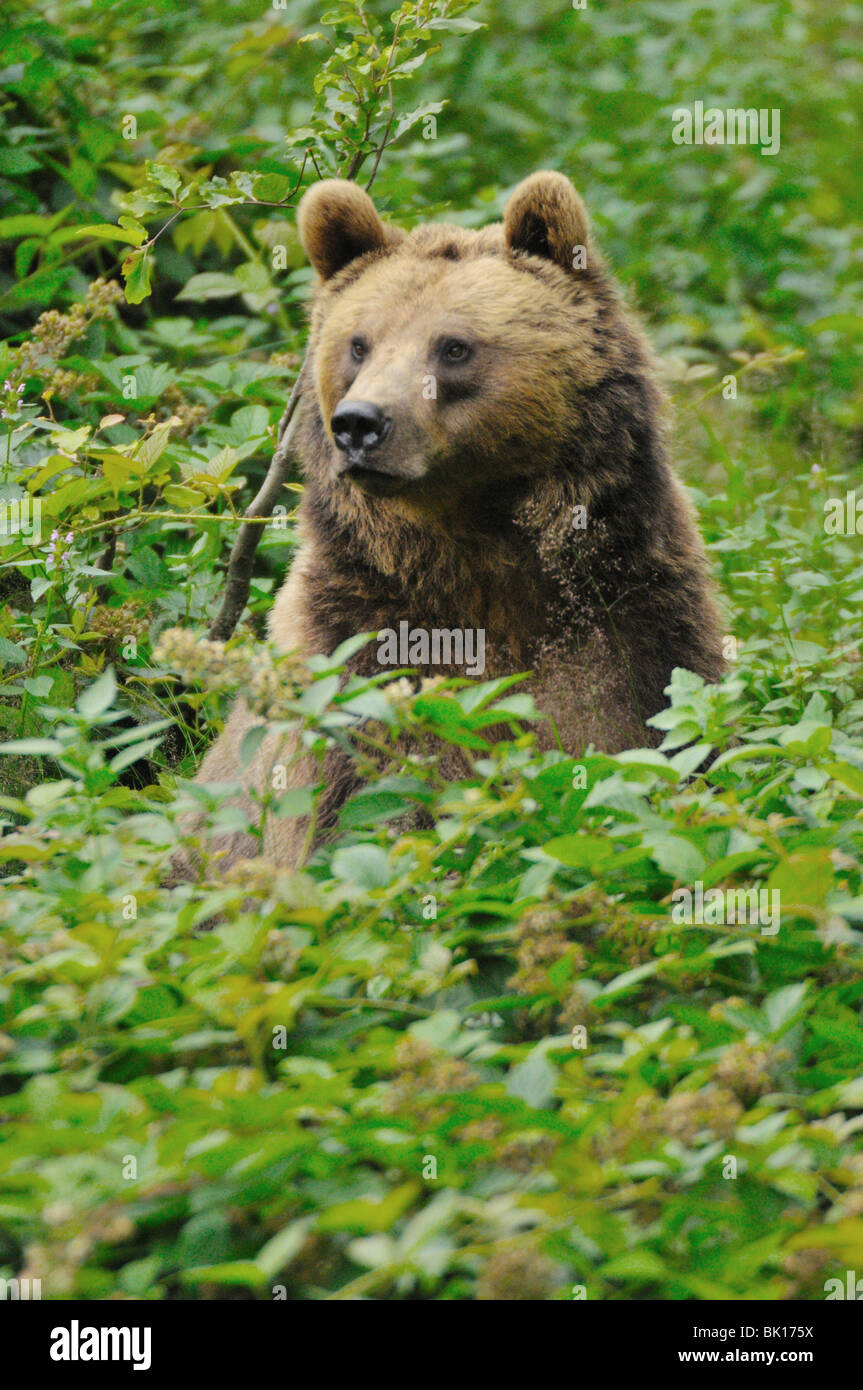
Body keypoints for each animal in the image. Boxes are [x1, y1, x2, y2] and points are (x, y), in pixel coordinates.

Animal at [191, 173, 722, 867]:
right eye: (358, 343)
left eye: (454, 347)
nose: (359, 424)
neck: (475, 546)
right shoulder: (353, 646)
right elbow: (349, 806)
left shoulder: (635, 621)